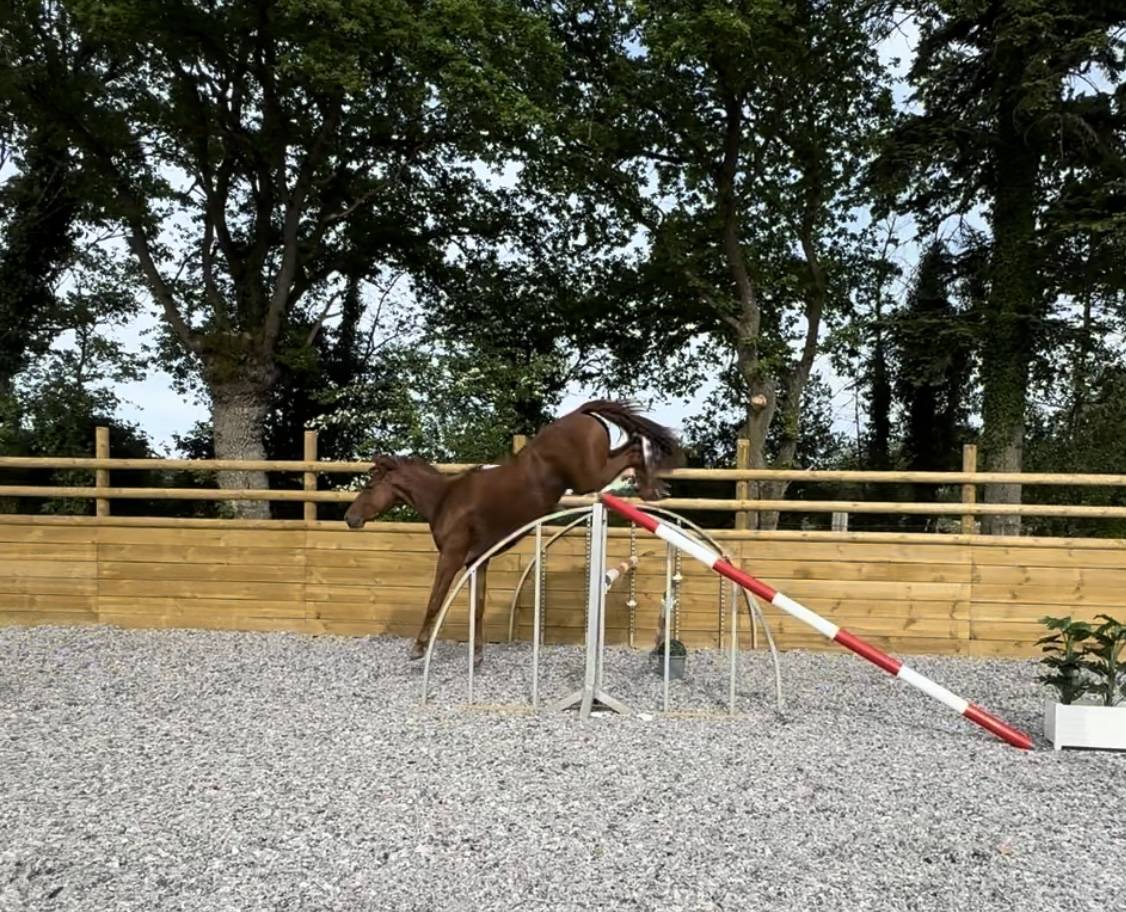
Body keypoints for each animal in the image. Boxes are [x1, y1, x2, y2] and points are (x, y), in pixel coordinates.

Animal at [344, 399, 682, 662]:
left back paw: (651, 482)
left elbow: (435, 600)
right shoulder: (476, 561)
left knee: (634, 449)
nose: (350, 518)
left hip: (589, 477)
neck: (445, 500)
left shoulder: (451, 557)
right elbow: (477, 607)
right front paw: (477, 656)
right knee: (630, 447)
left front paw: (417, 649)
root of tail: (580, 413)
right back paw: (651, 487)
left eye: (370, 485)